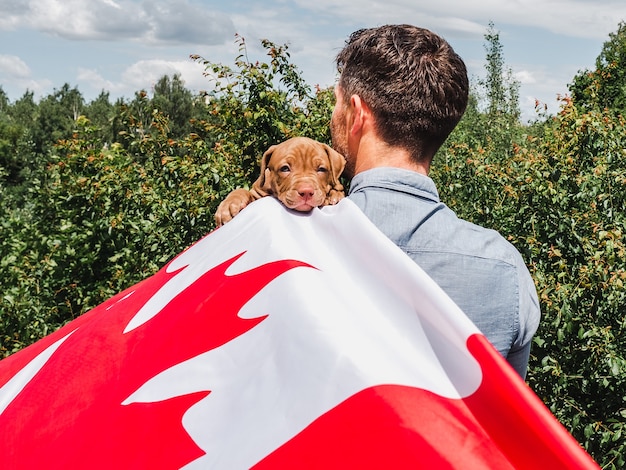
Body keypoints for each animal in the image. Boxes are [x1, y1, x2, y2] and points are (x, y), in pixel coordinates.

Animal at [213, 137, 342, 227]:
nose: (306, 192)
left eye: (321, 169)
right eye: (285, 169)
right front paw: (228, 205)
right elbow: (241, 191)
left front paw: (334, 195)